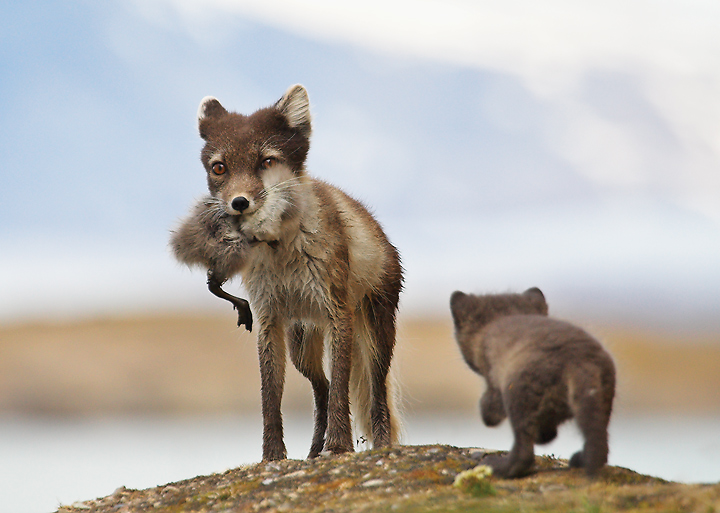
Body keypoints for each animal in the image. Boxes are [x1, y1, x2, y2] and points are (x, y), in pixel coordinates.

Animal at [170, 84, 403, 461]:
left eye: (267, 162)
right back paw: (312, 451)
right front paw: (272, 456)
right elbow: (270, 397)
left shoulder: (339, 314)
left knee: (373, 392)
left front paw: (339, 446)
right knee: (321, 389)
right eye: (219, 168)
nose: (239, 204)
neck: (283, 257)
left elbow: (342, 391)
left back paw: (379, 446)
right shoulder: (269, 319)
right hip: (301, 348)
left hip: (374, 338)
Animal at [450, 288, 615, 478]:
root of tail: (578, 360)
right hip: (602, 401)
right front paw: (545, 435)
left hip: (518, 395)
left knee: (524, 453)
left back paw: (496, 466)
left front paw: (488, 416)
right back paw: (578, 459)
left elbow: (489, 403)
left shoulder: (494, 378)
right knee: (600, 442)